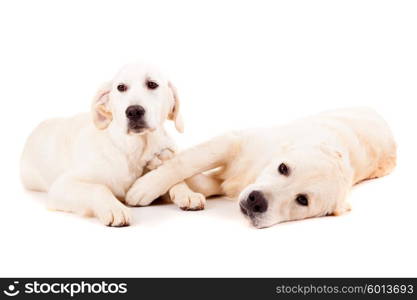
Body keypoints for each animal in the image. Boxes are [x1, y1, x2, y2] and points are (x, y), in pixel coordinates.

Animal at [20, 63, 206, 227]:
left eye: (152, 84)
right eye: (121, 87)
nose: (134, 111)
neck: (134, 150)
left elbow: (172, 176)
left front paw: (187, 193)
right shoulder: (63, 185)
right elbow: (98, 188)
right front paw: (114, 209)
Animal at [125, 108, 394, 227]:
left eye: (302, 200)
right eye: (283, 168)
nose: (256, 201)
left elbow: (203, 179)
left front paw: (180, 191)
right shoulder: (233, 141)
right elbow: (187, 161)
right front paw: (149, 184)